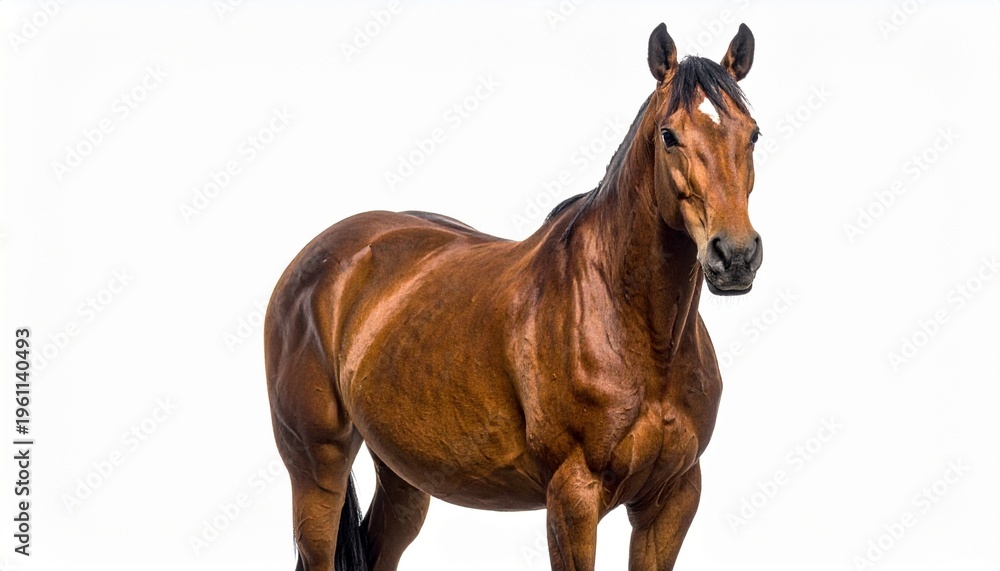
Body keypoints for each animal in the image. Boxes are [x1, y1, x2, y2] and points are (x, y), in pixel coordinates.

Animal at [265, 22, 763, 571]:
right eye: (668, 135)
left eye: (752, 133)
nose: (735, 255)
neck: (637, 331)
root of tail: (317, 258)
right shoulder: (573, 496)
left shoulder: (672, 498)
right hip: (317, 468)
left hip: (402, 471)